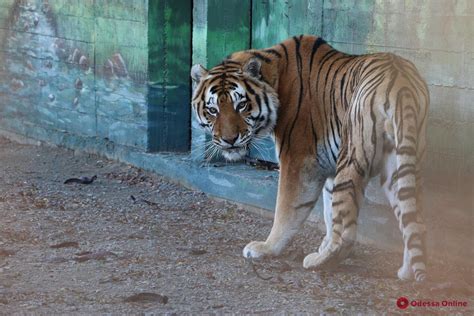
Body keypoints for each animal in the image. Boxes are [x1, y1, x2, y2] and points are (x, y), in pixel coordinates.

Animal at [190, 34, 430, 282]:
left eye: (241, 105)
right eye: (213, 110)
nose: (229, 140)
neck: (275, 76)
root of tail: (401, 84)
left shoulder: (298, 160)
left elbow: (287, 209)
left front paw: (266, 248)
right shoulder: (329, 167)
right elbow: (328, 210)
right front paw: (323, 243)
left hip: (352, 156)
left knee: (348, 230)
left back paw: (319, 262)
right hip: (400, 164)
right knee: (415, 220)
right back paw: (406, 271)